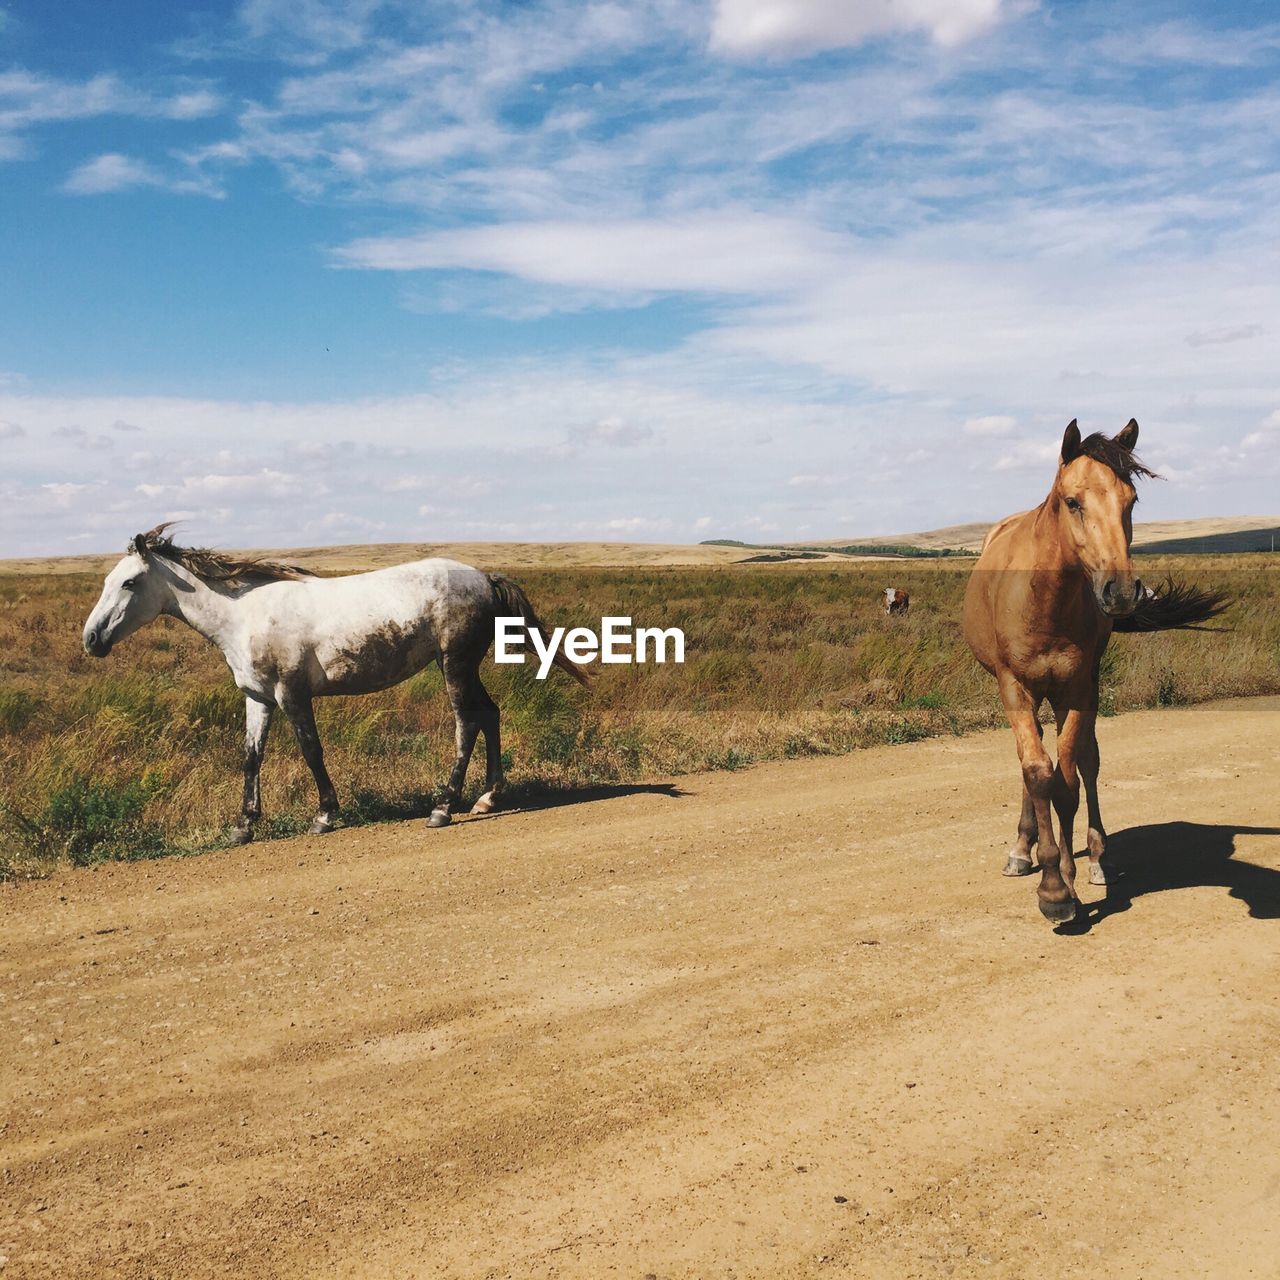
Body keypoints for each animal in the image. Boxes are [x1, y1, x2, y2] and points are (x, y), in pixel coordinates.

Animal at [74, 522, 586, 839]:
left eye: (129, 583)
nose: (92, 639)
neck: (242, 615)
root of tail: (484, 577)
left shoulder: (291, 694)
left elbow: (311, 750)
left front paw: (324, 815)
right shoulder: (257, 698)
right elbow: (251, 758)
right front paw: (244, 825)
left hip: (455, 665)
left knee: (467, 724)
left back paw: (444, 807)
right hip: (460, 667)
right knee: (490, 714)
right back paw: (488, 798)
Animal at [962, 424, 1223, 926]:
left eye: (1131, 500)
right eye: (1073, 501)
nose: (1120, 592)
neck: (1044, 602)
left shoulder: (1079, 689)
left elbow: (1068, 781)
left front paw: (1063, 882)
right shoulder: (1014, 688)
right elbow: (1038, 773)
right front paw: (1050, 882)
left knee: (1087, 762)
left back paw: (1097, 858)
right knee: (1032, 765)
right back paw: (1021, 849)